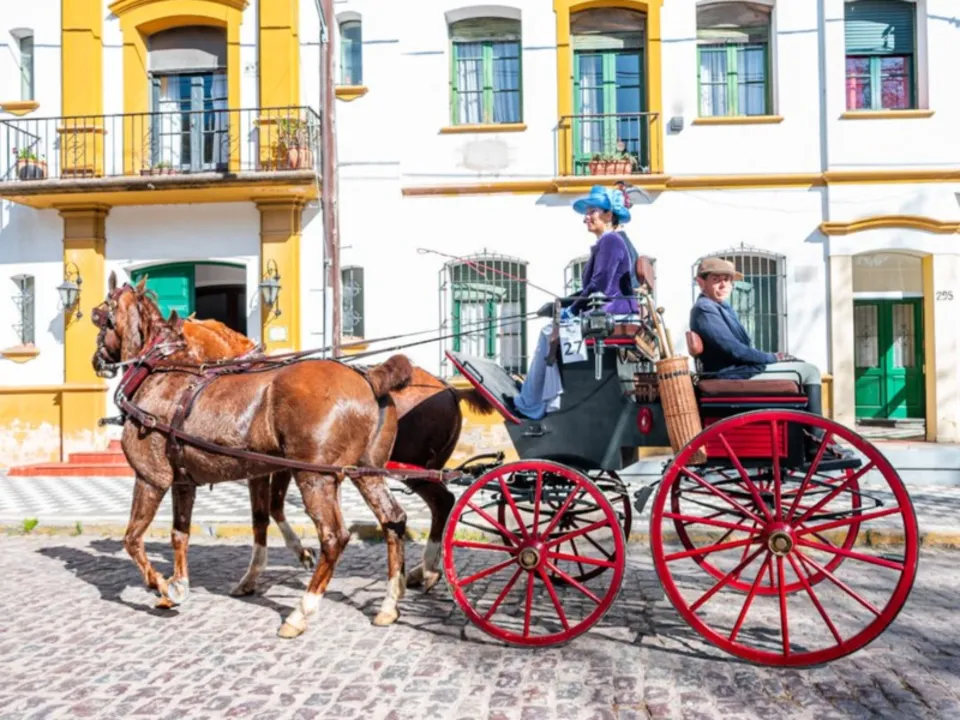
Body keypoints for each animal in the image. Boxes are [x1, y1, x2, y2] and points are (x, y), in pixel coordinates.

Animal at [91, 273, 418, 638]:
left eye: (98, 315)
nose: (97, 360)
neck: (163, 375)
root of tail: (370, 378)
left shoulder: (151, 477)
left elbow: (132, 538)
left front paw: (162, 586)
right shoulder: (187, 481)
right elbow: (182, 534)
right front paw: (180, 583)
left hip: (314, 476)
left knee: (334, 537)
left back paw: (301, 612)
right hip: (367, 471)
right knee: (393, 520)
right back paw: (389, 604)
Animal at [165, 314, 492, 596]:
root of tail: (450, 388)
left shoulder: (266, 467)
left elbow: (262, 515)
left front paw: (257, 573)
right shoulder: (281, 466)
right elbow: (274, 509)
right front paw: (300, 553)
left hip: (413, 470)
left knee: (442, 502)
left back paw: (426, 570)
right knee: (442, 504)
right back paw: (424, 571)